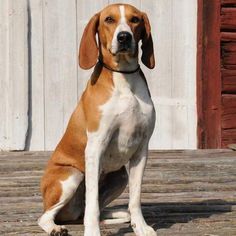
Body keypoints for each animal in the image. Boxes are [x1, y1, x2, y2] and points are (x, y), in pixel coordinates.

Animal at [38, 3, 157, 236]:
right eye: (109, 19)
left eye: (135, 19)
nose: (124, 37)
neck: (124, 78)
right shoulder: (95, 147)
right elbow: (91, 203)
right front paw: (92, 231)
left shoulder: (141, 150)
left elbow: (135, 198)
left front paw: (140, 226)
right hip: (71, 176)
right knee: (47, 216)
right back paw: (56, 228)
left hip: (119, 177)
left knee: (94, 210)